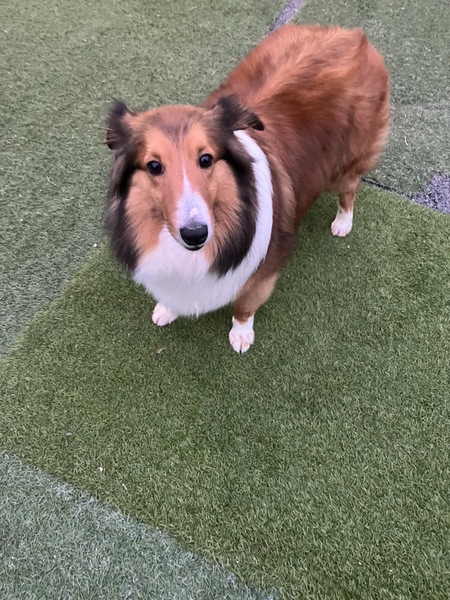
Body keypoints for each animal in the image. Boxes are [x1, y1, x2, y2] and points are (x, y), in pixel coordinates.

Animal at [105, 24, 390, 352]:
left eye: (206, 159)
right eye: (153, 166)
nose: (195, 234)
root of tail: (353, 35)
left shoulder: (264, 270)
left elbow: (245, 304)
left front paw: (241, 334)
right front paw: (167, 308)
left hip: (345, 165)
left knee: (350, 189)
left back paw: (343, 222)